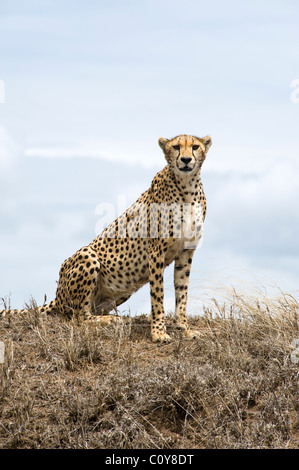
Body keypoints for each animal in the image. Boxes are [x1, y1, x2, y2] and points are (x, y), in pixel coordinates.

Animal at [1, 134, 212, 344]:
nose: (186, 160)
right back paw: (111, 320)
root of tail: (57, 296)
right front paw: (159, 333)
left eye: (195, 147)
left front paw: (184, 328)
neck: (187, 186)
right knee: (79, 317)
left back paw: (117, 318)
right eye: (176, 147)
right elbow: (158, 295)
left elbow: (182, 292)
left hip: (123, 289)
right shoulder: (156, 252)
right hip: (88, 255)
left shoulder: (186, 252)